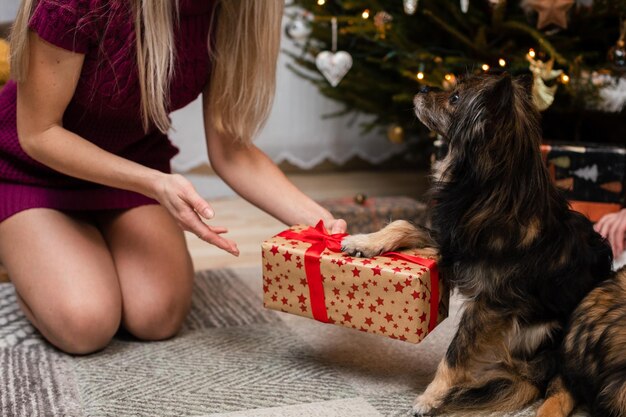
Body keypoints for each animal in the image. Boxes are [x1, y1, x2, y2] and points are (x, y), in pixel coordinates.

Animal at [338, 73, 612, 414]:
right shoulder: (451, 244)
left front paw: (430, 397)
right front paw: (363, 241)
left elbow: (455, 354)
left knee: (562, 391)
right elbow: (403, 223)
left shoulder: (489, 305)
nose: (423, 86)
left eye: (455, 98)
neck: (488, 190)